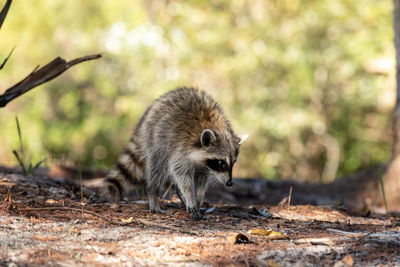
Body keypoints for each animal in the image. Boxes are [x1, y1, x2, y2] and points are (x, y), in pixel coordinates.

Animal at [108, 88, 248, 220]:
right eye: (221, 163)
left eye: (233, 163)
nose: (230, 183)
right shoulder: (181, 150)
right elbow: (181, 173)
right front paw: (190, 196)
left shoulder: (204, 166)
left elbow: (201, 181)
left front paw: (198, 198)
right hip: (157, 139)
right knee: (158, 168)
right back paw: (153, 194)